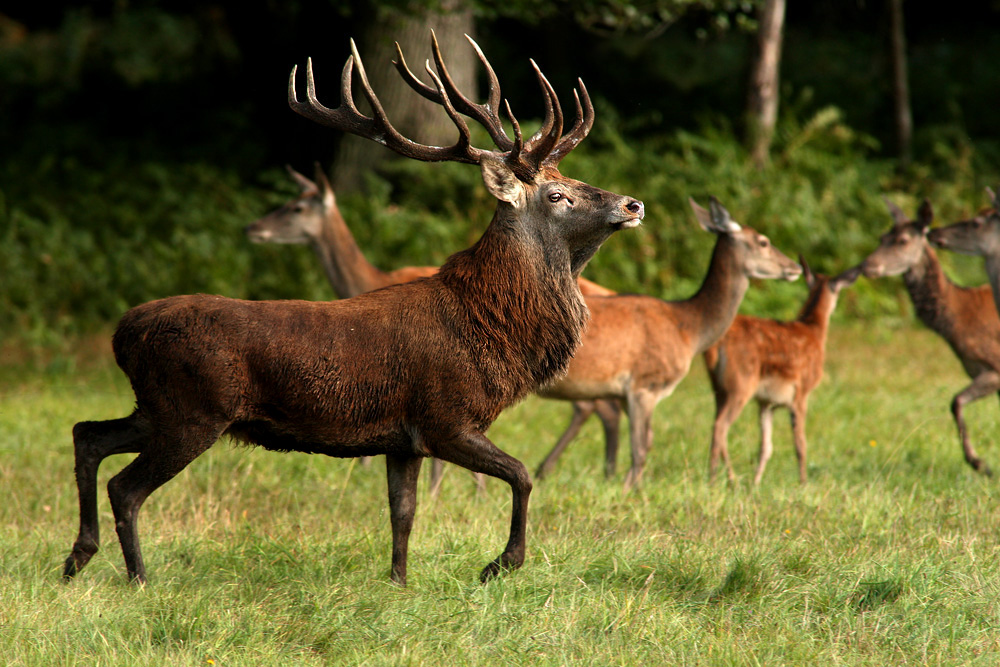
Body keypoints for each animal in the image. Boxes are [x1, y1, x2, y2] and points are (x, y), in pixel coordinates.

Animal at [536, 198, 800, 490]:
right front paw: (629, 490)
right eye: (763, 241)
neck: (687, 329)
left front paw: (627, 485)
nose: (795, 267)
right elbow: (640, 448)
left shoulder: (629, 391)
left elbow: (645, 443)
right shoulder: (644, 383)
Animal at [704, 258, 860, 486]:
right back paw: (716, 479)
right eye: (838, 292)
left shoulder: (766, 402)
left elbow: (765, 448)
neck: (813, 331)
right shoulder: (801, 392)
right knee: (720, 426)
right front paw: (803, 483)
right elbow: (800, 444)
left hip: (718, 387)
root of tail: (715, 346)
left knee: (719, 426)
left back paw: (730, 479)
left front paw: (756, 483)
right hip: (740, 384)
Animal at [860, 197, 1000, 474]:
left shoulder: (995, 366)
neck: (959, 319)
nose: (867, 266)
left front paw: (979, 462)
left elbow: (955, 401)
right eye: (882, 237)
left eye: (903, 240)